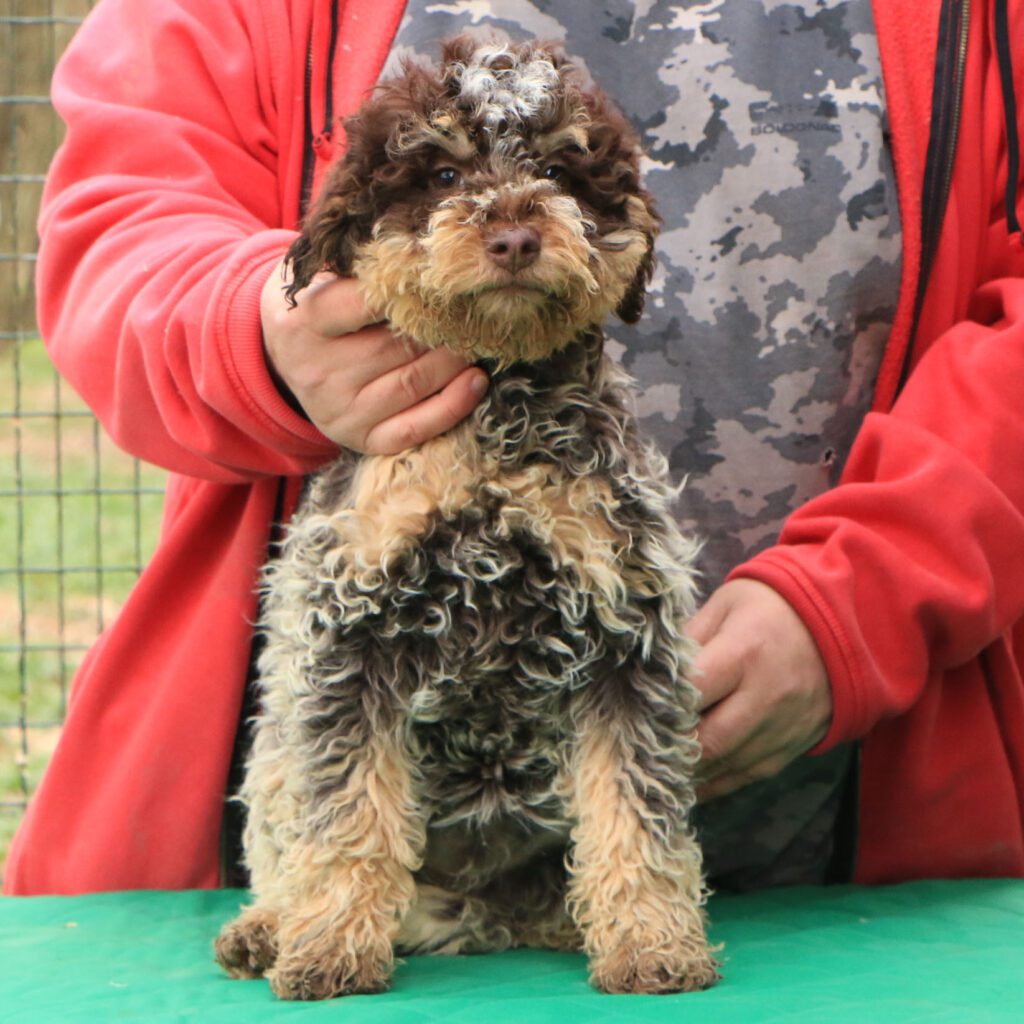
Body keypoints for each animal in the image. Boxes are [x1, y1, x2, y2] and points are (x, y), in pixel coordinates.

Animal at [212, 34, 716, 999]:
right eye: (443, 173)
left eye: (557, 169)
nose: (515, 234)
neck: (496, 420)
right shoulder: (349, 633)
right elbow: (348, 811)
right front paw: (331, 946)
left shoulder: (627, 633)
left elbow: (632, 808)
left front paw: (651, 941)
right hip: (277, 738)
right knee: (284, 827)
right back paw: (269, 926)